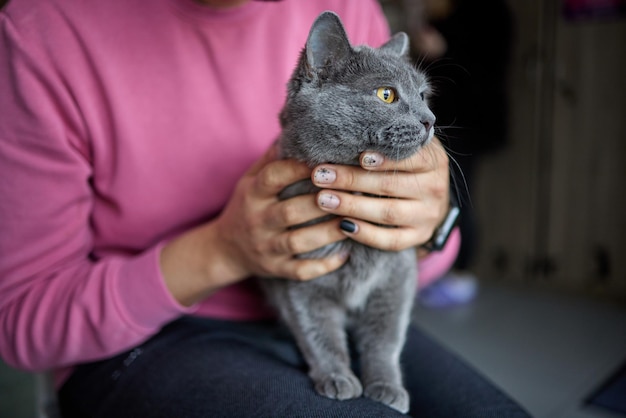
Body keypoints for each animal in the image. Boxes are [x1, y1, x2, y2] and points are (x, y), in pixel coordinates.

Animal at [258, 10, 434, 414]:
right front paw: (337, 378)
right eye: (387, 94)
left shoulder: (396, 277)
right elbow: (318, 332)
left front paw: (386, 386)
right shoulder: (301, 278)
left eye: (422, 95)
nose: (430, 120)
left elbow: (385, 338)